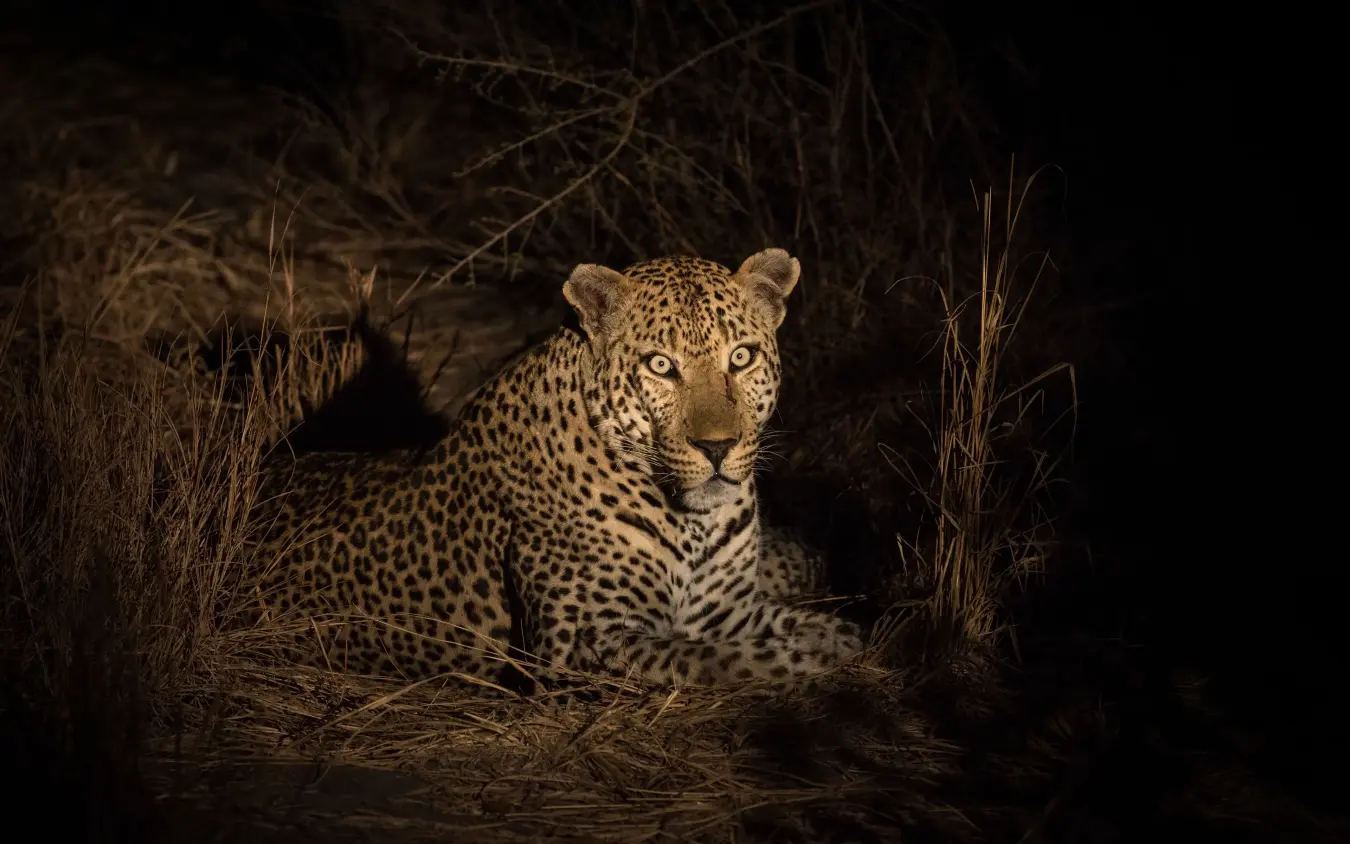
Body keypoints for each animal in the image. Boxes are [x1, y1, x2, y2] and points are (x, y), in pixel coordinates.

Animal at [249, 248, 865, 689]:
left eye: (741, 357)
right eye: (660, 366)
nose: (717, 447)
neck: (693, 519)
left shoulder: (726, 611)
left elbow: (799, 624)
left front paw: (840, 639)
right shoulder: (583, 645)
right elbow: (719, 660)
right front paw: (815, 659)